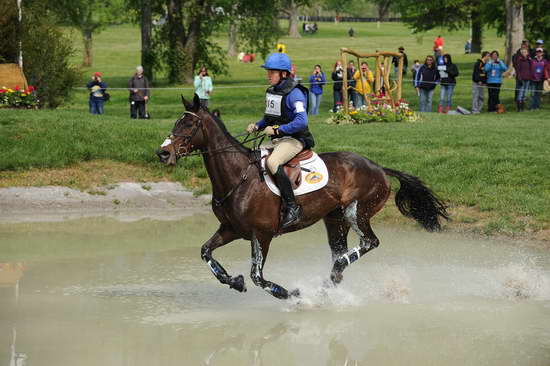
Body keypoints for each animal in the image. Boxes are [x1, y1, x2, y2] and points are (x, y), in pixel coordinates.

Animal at [157, 94, 450, 300]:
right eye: (176, 122)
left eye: (190, 124)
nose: (163, 152)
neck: (238, 176)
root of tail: (378, 167)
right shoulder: (231, 229)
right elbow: (206, 252)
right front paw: (234, 282)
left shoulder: (261, 235)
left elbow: (258, 277)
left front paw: (293, 295)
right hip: (335, 220)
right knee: (341, 256)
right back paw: (330, 283)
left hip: (356, 211)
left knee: (369, 242)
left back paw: (331, 276)